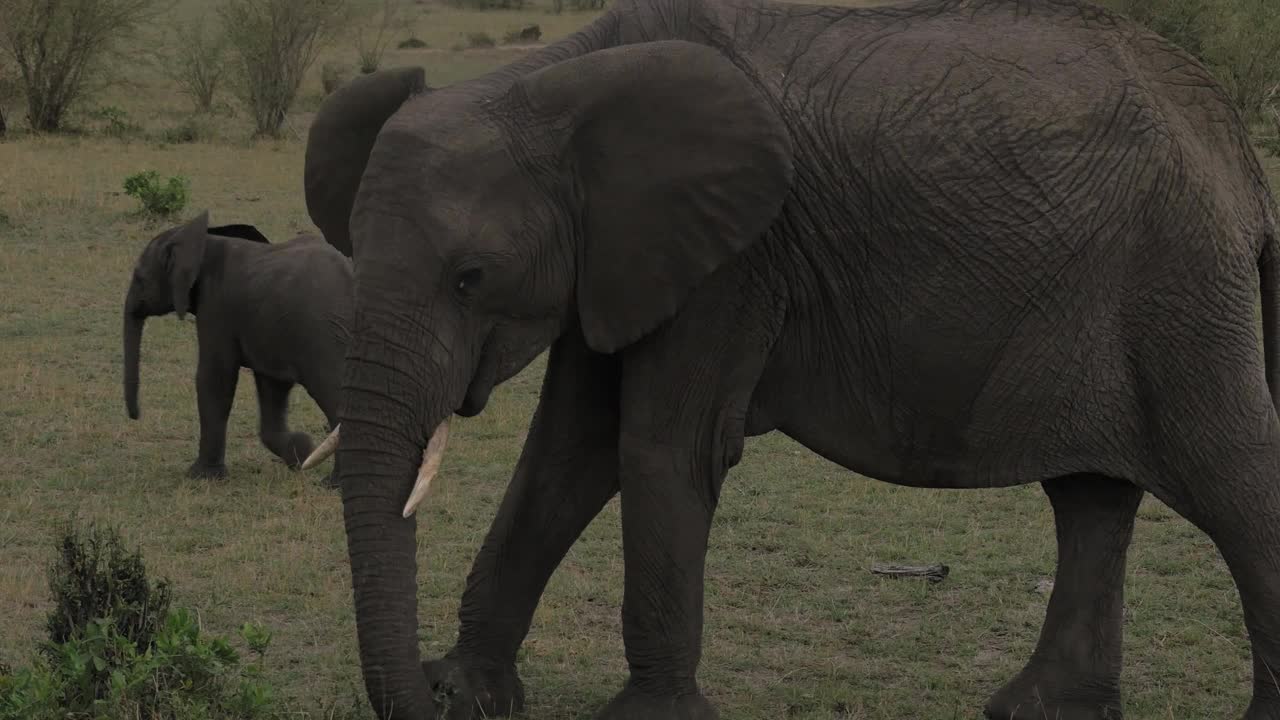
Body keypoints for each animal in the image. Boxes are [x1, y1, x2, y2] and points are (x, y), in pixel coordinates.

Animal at [122, 210, 353, 484]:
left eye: (139, 278)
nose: (136, 416)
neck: (201, 241)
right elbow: (271, 386)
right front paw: (301, 452)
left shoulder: (216, 306)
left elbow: (215, 378)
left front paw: (201, 477)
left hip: (319, 335)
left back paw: (335, 484)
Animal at [296, 0, 1280, 712]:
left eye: (470, 279)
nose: (419, 694)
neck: (550, 84)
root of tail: (1232, 145)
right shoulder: (617, 256)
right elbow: (568, 453)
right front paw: (470, 694)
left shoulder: (734, 261)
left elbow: (660, 450)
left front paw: (645, 718)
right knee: (1090, 497)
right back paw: (1038, 710)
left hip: (1179, 281)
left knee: (1232, 481)